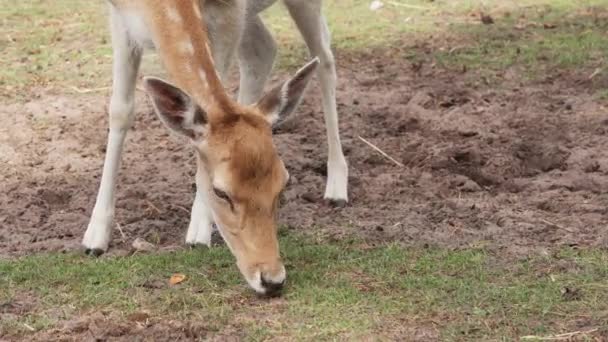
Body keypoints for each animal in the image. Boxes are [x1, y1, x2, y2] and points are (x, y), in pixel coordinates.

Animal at [82, 0, 346, 294]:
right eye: (221, 192)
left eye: (284, 183)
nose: (272, 279)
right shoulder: (119, 17)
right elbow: (121, 110)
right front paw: (95, 237)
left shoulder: (228, 15)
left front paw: (198, 232)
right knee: (263, 49)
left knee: (324, 57)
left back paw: (337, 185)